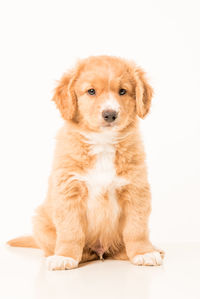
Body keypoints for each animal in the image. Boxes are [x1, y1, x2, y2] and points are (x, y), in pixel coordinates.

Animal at [8, 55, 164, 270]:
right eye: (91, 91)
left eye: (122, 91)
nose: (110, 114)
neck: (103, 142)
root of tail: (101, 249)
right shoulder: (69, 191)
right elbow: (70, 232)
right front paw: (65, 256)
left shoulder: (136, 189)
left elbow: (136, 228)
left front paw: (143, 252)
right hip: (40, 221)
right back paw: (72, 254)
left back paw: (147, 249)